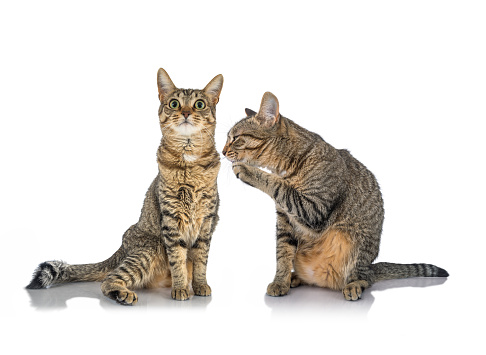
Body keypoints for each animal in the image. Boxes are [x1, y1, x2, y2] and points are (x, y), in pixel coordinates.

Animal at [27, 69, 223, 306]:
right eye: (174, 104)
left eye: (199, 105)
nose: (185, 112)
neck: (189, 163)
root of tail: (122, 246)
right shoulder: (171, 220)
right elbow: (177, 259)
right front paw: (180, 288)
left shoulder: (207, 221)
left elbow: (201, 260)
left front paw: (199, 285)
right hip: (150, 249)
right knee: (109, 280)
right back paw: (122, 294)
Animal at [223, 91, 448, 300]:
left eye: (236, 138)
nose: (223, 151)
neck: (285, 165)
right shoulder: (285, 220)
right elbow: (283, 253)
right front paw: (281, 281)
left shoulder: (314, 209)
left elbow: (279, 186)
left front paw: (247, 170)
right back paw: (295, 277)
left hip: (358, 245)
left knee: (365, 277)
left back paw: (354, 285)